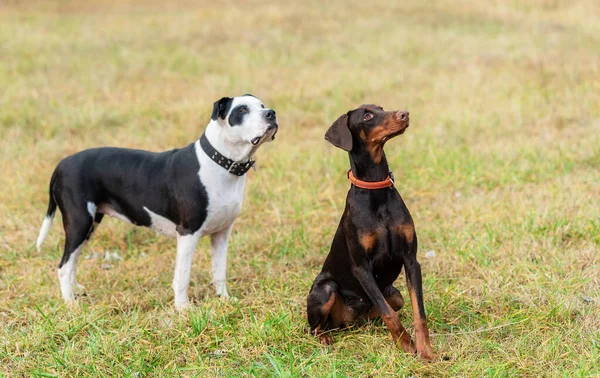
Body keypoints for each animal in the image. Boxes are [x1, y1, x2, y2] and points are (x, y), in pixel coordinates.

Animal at [37, 94, 278, 310]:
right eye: (242, 109)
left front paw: (224, 300)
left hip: (90, 224)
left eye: (262, 105)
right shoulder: (188, 233)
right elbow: (182, 276)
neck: (220, 163)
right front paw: (183, 309)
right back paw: (70, 302)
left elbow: (220, 271)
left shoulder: (221, 233)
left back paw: (76, 289)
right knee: (63, 265)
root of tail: (61, 165)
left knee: (73, 259)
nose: (271, 113)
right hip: (79, 222)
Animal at [308, 104, 434, 360]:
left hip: (394, 294)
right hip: (325, 289)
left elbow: (419, 312)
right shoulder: (362, 268)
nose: (405, 114)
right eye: (367, 115)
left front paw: (425, 351)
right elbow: (389, 315)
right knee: (315, 327)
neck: (376, 189)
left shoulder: (411, 259)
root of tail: (345, 321)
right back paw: (324, 337)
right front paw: (407, 347)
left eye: (381, 108)